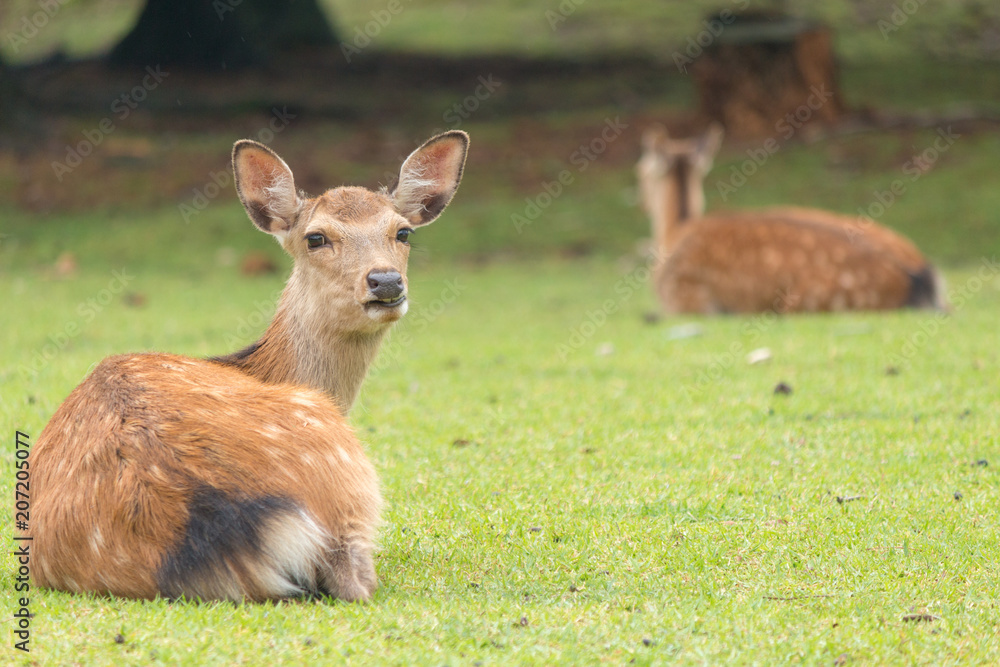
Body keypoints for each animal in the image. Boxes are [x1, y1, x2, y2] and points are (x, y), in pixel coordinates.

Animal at [23, 130, 470, 603]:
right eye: (316, 238)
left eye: (403, 232)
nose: (385, 281)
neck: (261, 366)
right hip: (344, 472)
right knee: (356, 580)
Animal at [636, 124, 946, 314]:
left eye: (640, 171)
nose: (642, 202)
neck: (673, 232)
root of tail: (919, 277)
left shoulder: (685, 302)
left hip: (805, 301)